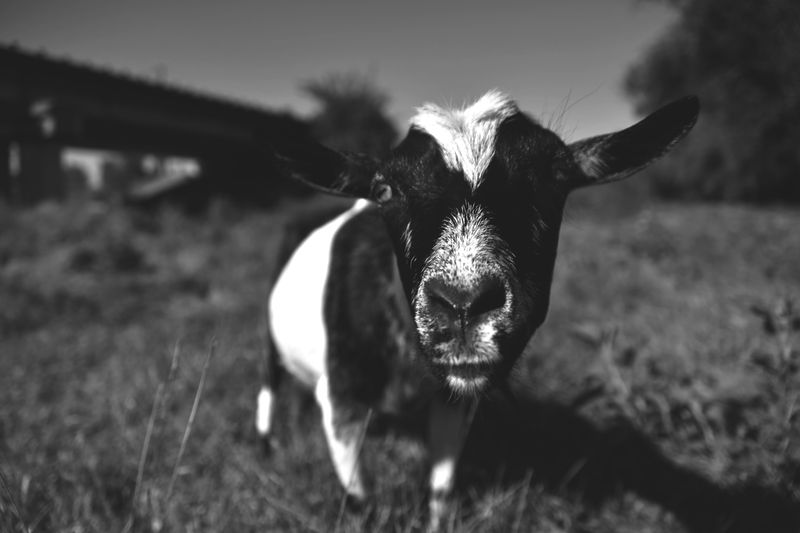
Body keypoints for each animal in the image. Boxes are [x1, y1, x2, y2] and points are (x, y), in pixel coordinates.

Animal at [256, 90, 698, 528]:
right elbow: (360, 501)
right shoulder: (341, 398)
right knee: (269, 381)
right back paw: (266, 445)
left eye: (556, 178)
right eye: (384, 190)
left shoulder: (453, 400)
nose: (463, 305)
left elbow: (442, 489)